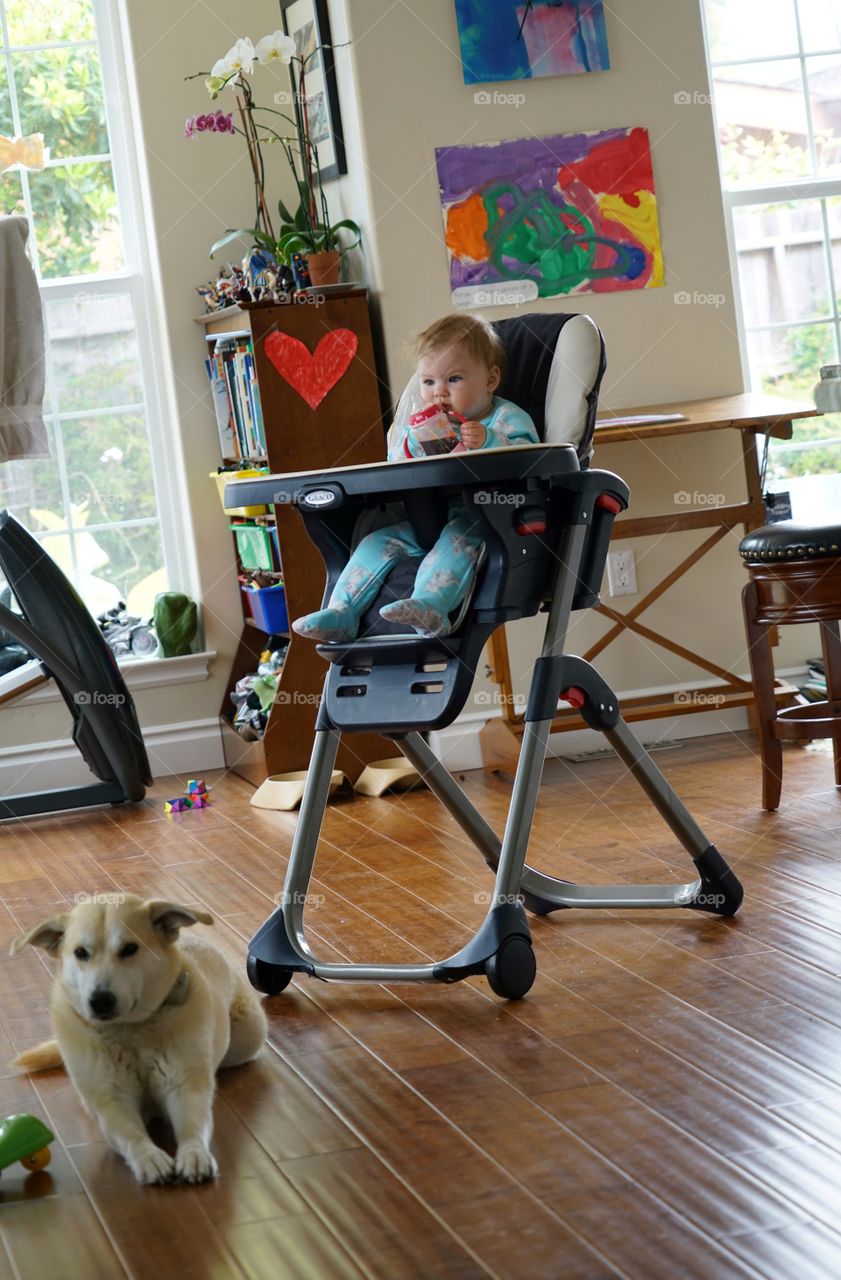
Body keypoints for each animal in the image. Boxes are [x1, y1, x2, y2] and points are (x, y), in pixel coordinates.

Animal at [9, 896, 266, 1182]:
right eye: (80, 953)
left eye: (129, 949)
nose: (100, 1001)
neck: (130, 1031)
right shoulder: (112, 1100)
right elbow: (131, 1135)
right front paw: (149, 1157)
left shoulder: (184, 1088)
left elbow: (192, 1126)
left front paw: (194, 1153)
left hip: (247, 1039)